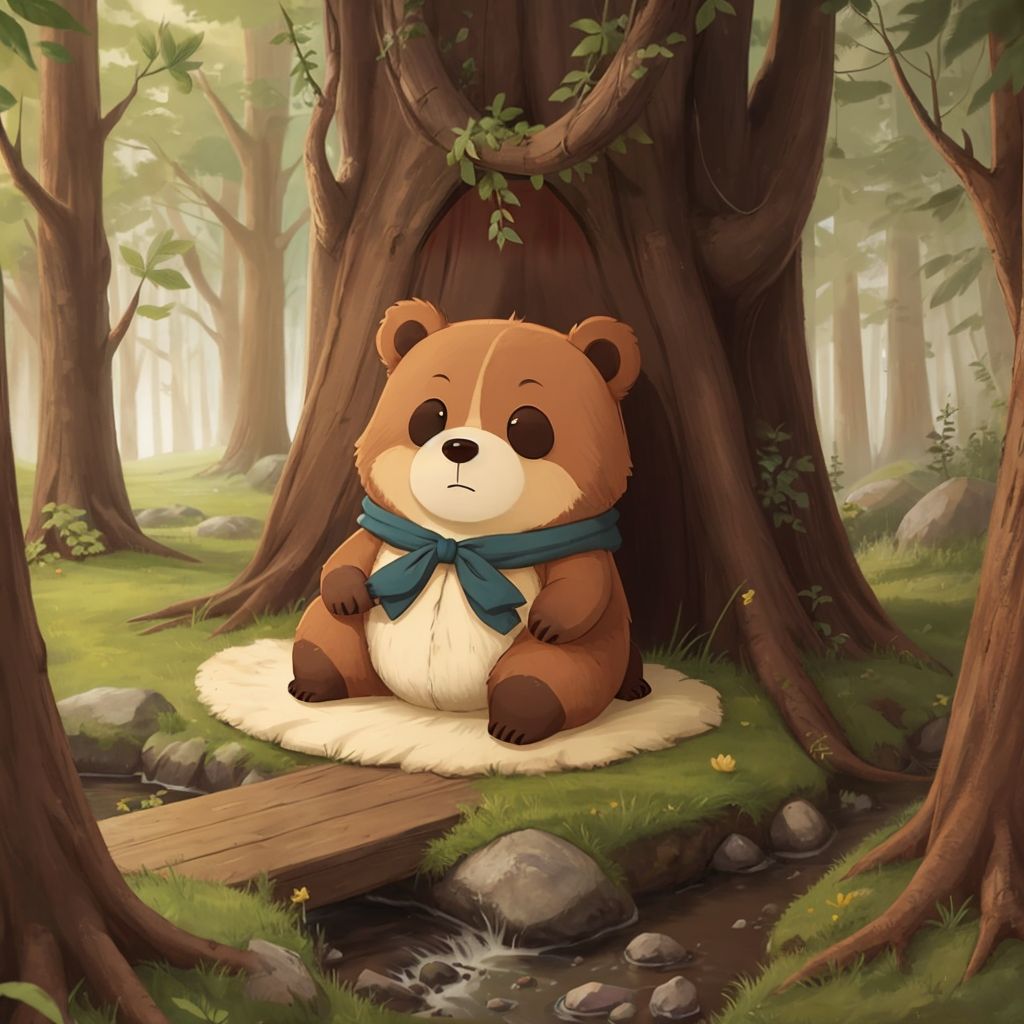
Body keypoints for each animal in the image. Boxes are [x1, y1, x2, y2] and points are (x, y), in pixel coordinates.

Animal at [287, 298, 650, 745]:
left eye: (530, 426)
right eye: (429, 415)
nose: (459, 447)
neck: (455, 537)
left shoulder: (576, 549)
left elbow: (583, 582)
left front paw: (551, 620)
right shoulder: (390, 529)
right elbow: (347, 554)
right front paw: (345, 591)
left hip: (579, 657)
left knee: (550, 673)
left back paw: (524, 717)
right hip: (348, 640)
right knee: (325, 634)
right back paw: (313, 681)